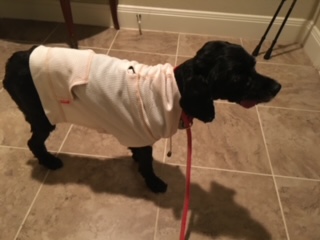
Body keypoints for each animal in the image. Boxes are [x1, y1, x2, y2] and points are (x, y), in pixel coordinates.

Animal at [3, 41, 282, 193]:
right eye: (239, 78)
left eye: (254, 66)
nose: (278, 87)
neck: (177, 88)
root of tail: (14, 59)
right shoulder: (140, 135)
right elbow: (146, 164)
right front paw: (154, 183)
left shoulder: (136, 136)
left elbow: (140, 157)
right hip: (42, 116)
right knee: (33, 143)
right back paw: (49, 161)